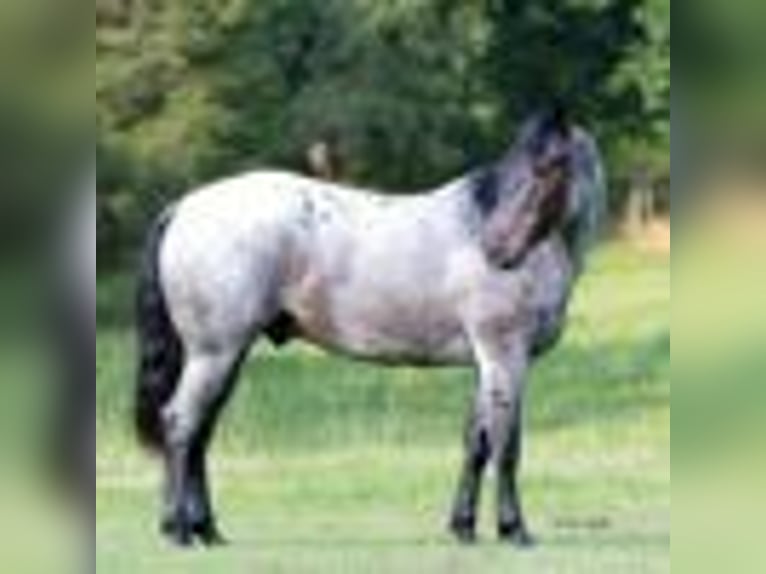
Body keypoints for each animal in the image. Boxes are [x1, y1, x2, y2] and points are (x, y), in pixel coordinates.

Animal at [134, 108, 605, 548]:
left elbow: (477, 442)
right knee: (180, 424)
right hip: (214, 354)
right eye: (526, 165)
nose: (496, 249)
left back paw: (207, 531)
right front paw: (514, 530)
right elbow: (507, 447)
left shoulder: (484, 362)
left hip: (226, 355)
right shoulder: (505, 356)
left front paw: (464, 527)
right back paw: (177, 530)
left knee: (201, 433)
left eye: (548, 167)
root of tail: (183, 208)